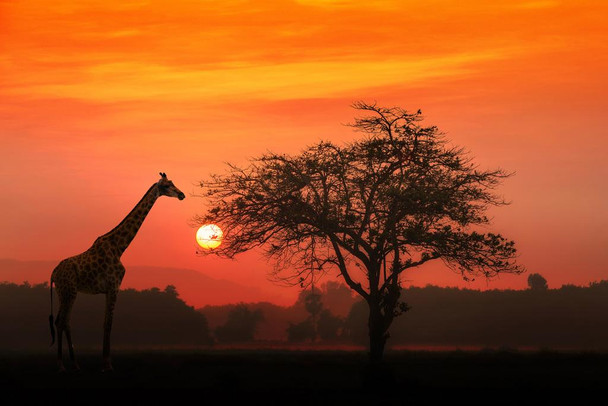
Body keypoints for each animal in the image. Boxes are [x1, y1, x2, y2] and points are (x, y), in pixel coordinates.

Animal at [49, 171, 185, 372]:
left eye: (173, 183)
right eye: (167, 185)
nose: (182, 195)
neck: (120, 247)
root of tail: (53, 274)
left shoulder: (109, 289)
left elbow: (106, 323)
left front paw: (105, 363)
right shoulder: (114, 286)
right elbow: (108, 324)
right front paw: (107, 364)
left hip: (65, 292)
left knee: (65, 321)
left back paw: (75, 363)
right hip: (68, 292)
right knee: (61, 322)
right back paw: (61, 365)